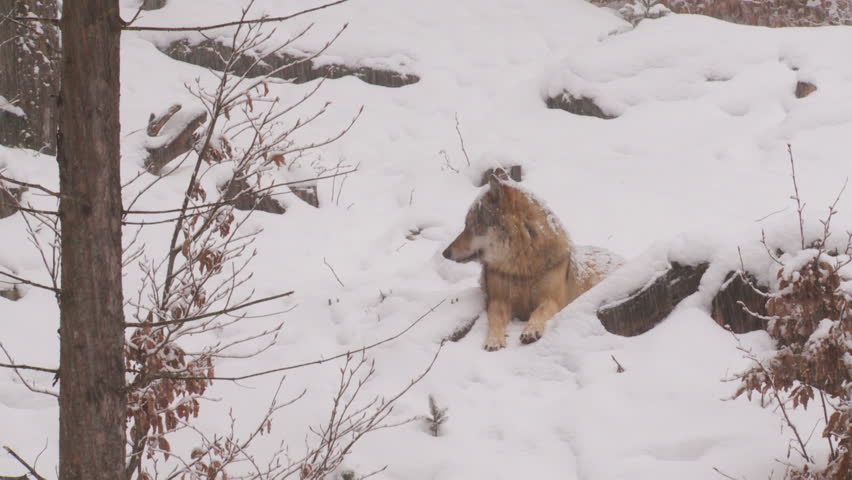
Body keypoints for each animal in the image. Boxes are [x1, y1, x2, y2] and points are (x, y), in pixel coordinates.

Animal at [442, 169, 623, 351]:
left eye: (472, 225)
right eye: (466, 225)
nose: (445, 253)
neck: (521, 268)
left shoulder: (552, 300)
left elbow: (538, 312)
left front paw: (530, 331)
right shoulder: (498, 300)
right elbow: (496, 320)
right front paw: (494, 340)